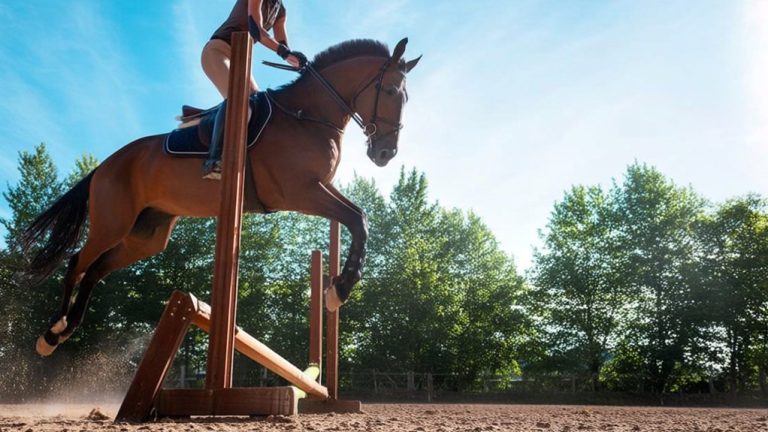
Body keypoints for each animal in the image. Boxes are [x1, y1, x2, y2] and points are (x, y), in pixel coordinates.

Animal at [22, 38, 421, 356]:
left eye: (406, 97)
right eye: (389, 92)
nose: (385, 153)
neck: (308, 115)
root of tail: (105, 164)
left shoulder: (317, 187)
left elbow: (359, 217)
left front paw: (339, 286)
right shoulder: (299, 191)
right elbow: (357, 219)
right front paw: (340, 289)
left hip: (146, 236)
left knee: (96, 270)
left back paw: (63, 332)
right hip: (113, 222)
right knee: (78, 262)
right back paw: (51, 332)